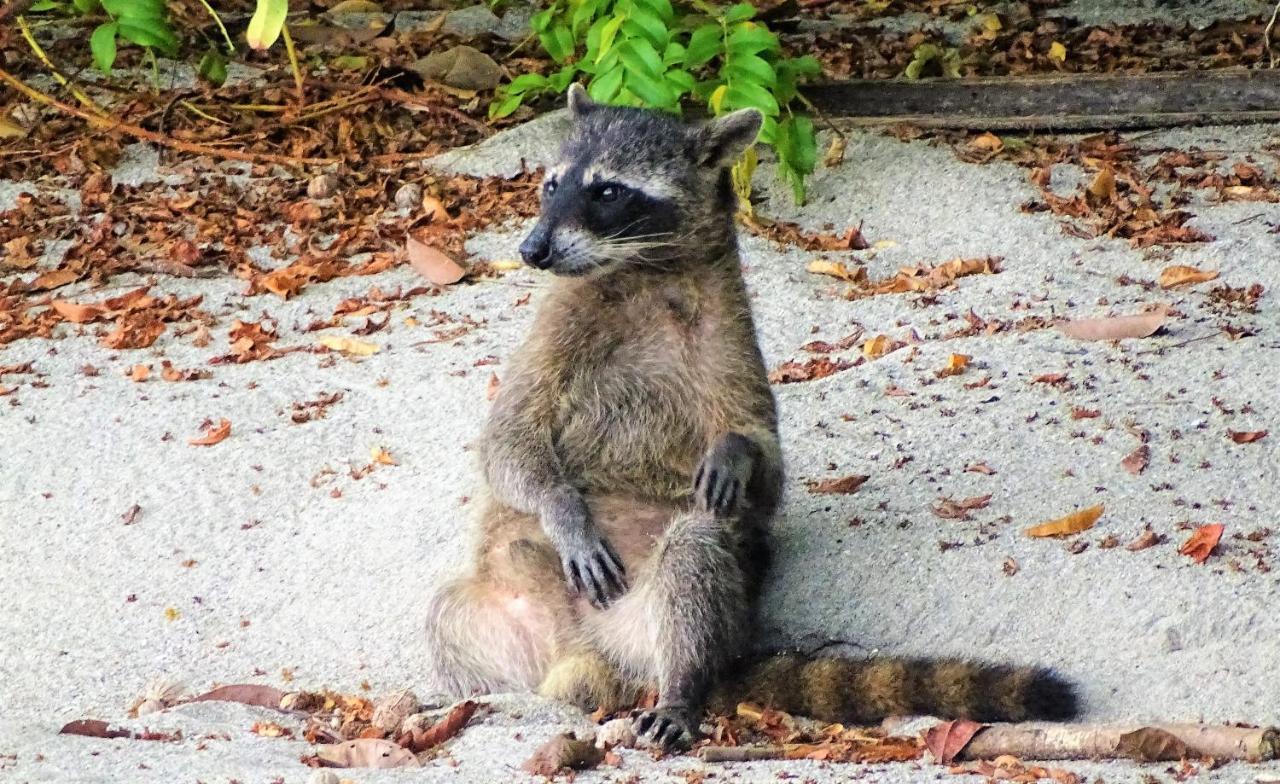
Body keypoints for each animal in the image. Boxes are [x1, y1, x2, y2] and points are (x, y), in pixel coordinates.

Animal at [422, 82, 1080, 748]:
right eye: (552, 184)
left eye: (607, 191)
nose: (532, 250)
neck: (639, 269)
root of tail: (581, 653)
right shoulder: (558, 327)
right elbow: (508, 437)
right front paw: (562, 507)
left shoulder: (729, 331)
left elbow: (766, 472)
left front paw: (739, 450)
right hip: (496, 617)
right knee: (443, 612)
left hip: (648, 624)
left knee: (694, 554)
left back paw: (682, 687)